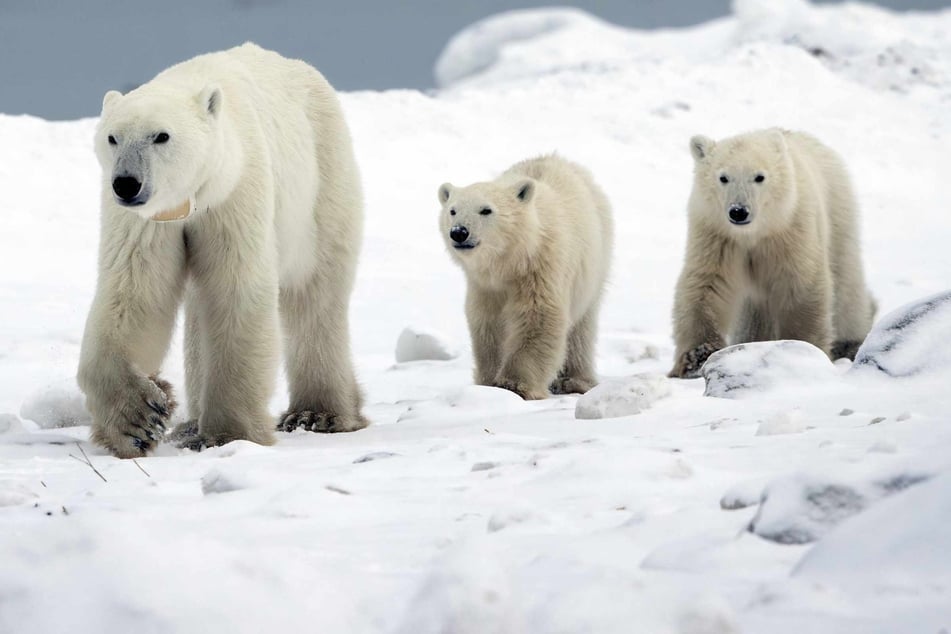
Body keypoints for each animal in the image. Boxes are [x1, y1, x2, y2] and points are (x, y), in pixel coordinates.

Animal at [77, 43, 367, 458]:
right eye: (112, 137)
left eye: (161, 136)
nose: (126, 183)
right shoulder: (149, 222)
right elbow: (134, 293)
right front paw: (138, 420)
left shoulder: (235, 193)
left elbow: (236, 291)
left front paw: (228, 434)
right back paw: (190, 423)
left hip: (322, 178)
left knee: (315, 293)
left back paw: (318, 414)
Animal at [438, 155, 614, 399]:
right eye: (452, 210)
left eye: (486, 210)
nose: (459, 232)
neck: (509, 261)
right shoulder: (485, 286)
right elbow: (488, 323)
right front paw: (488, 383)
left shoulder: (540, 269)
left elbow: (537, 316)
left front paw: (515, 385)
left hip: (594, 262)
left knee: (582, 326)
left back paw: (574, 381)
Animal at [669, 128, 876, 378]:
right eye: (723, 177)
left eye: (760, 177)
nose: (738, 211)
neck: (754, 234)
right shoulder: (716, 235)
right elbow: (706, 284)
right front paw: (696, 358)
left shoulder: (790, 230)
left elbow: (800, 284)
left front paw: (803, 348)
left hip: (838, 211)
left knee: (846, 280)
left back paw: (850, 342)